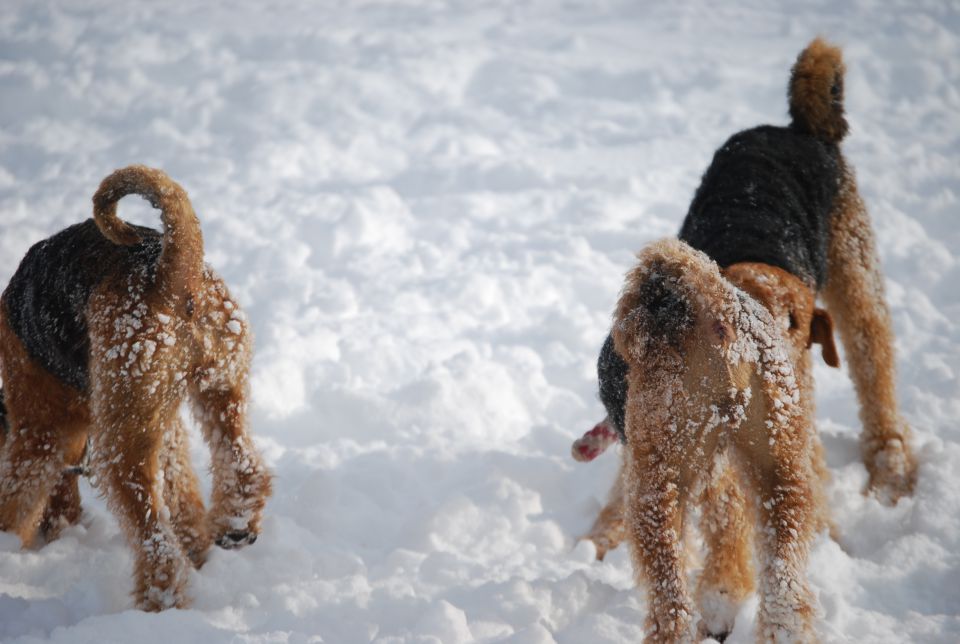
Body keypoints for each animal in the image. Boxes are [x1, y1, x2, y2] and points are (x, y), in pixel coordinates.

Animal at [0, 165, 272, 608]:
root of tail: (170, 274)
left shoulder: (38, 429)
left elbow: (16, 499)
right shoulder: (163, 423)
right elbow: (181, 490)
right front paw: (197, 547)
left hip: (119, 443)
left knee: (152, 536)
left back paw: (161, 599)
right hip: (217, 383)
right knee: (241, 463)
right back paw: (235, 524)